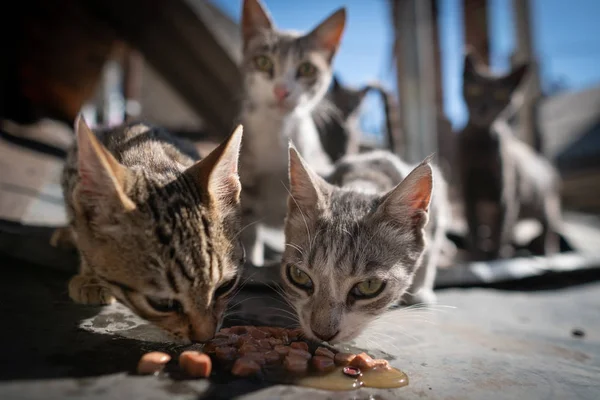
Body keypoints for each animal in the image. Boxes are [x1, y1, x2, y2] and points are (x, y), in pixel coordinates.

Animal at [237, 0, 344, 268]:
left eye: (306, 69)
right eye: (263, 62)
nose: (281, 90)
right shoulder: (247, 176)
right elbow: (249, 229)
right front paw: (253, 261)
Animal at [460, 48, 564, 260]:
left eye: (500, 95)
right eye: (475, 91)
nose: (484, 107)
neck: (480, 144)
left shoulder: (506, 194)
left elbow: (501, 229)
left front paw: (498, 257)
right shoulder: (468, 192)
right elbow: (474, 227)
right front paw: (476, 255)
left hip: (548, 205)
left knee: (549, 231)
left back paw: (546, 252)